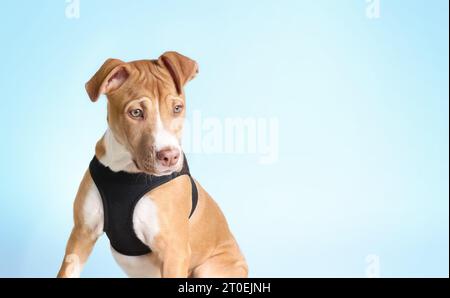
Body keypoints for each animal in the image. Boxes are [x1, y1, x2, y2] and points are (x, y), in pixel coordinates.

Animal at [56, 52, 248, 278]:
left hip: (208, 268)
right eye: (136, 112)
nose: (170, 156)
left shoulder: (174, 252)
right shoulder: (81, 234)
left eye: (177, 108)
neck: (126, 172)